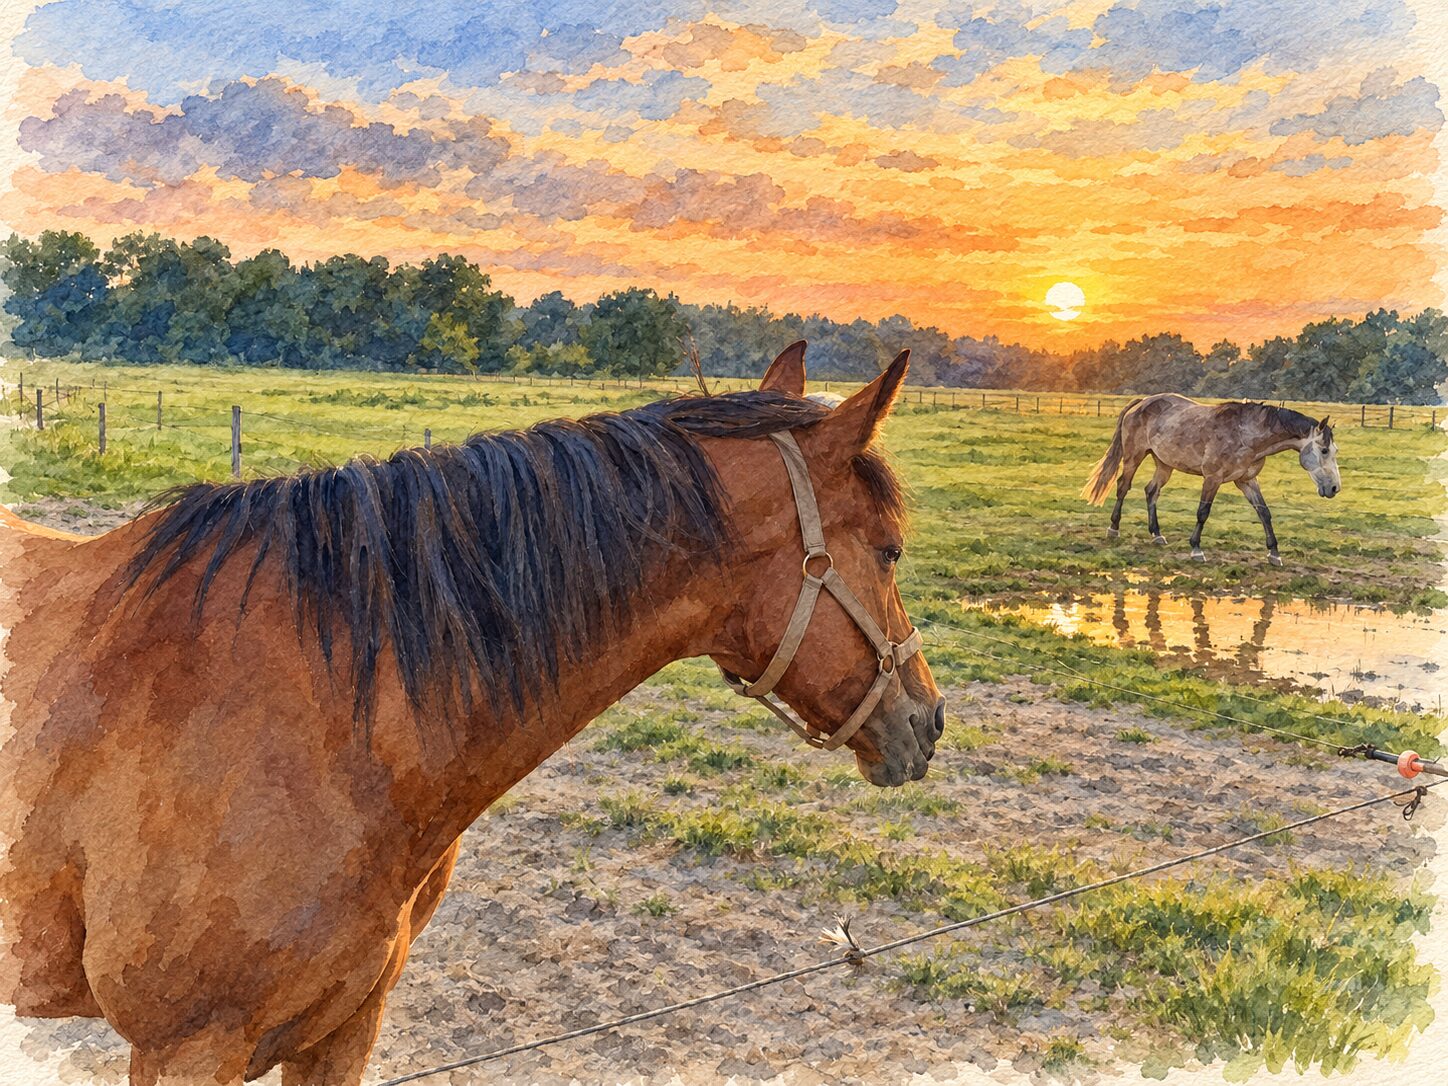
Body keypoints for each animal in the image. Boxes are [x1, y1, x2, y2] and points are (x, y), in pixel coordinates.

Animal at [1082, 394, 1340, 565]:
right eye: (1324, 450)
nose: (1335, 488)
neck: (1245, 435)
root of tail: (1142, 402)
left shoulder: (1247, 481)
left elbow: (1264, 513)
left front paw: (1274, 554)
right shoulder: (1212, 478)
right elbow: (1203, 512)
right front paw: (1196, 549)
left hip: (1164, 464)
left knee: (1151, 491)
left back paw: (1157, 535)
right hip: (1133, 457)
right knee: (1122, 487)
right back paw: (1113, 529)